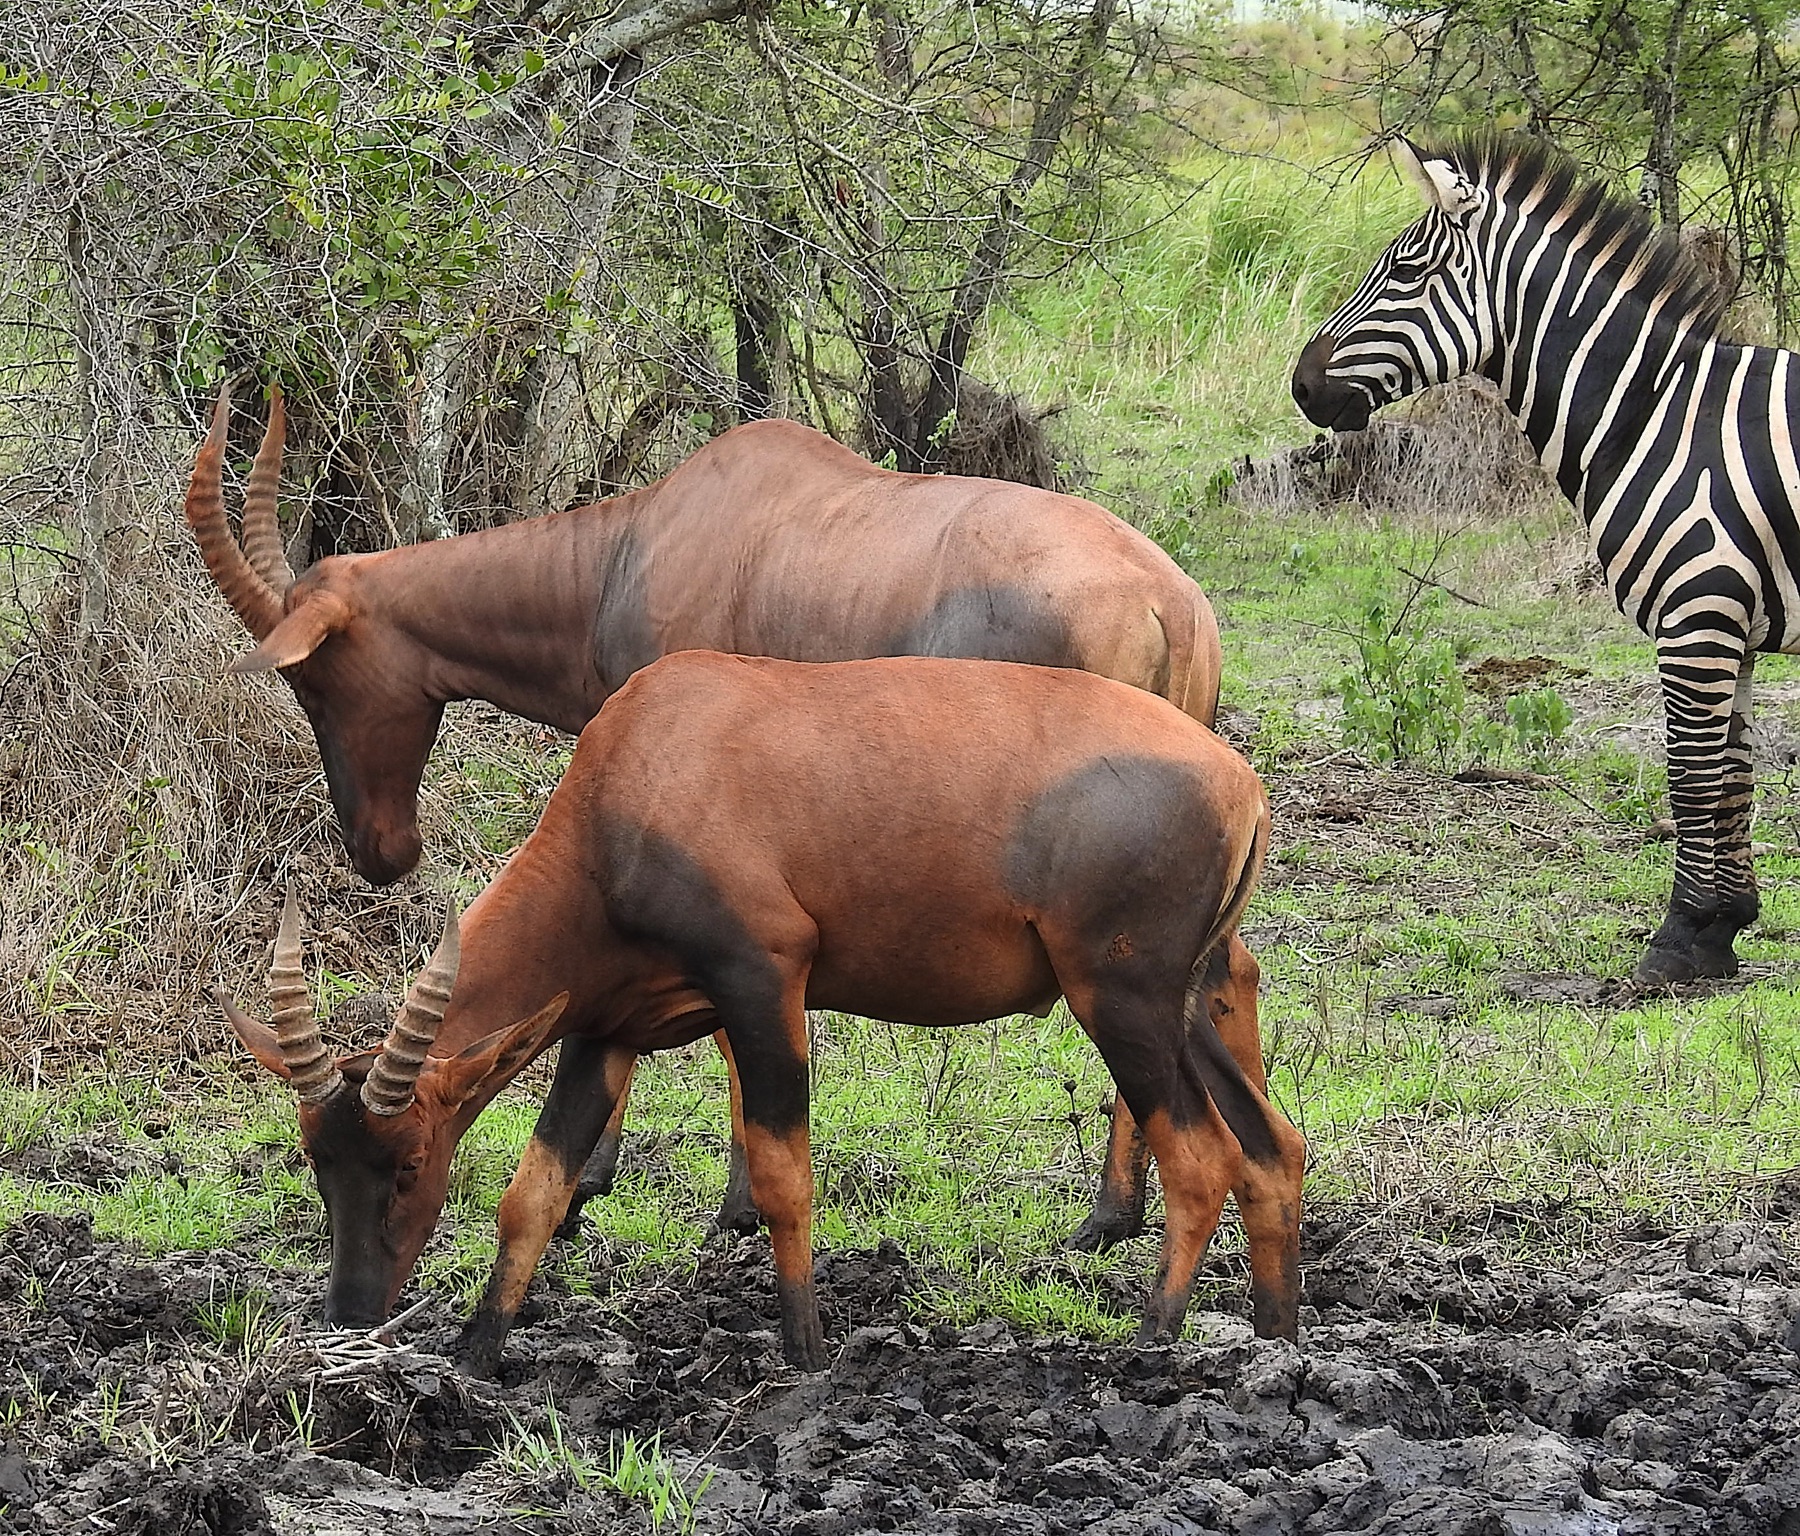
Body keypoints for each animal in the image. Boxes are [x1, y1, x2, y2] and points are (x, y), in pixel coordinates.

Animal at [188, 384, 1249, 1252]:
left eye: (312, 680)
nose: (380, 851)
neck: (641, 546)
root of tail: (1173, 605)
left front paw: (665, 1199)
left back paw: (1111, 1215)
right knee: (1230, 977)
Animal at [222, 653, 1301, 1372]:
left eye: (407, 1164)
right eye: (318, 1162)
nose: (351, 1312)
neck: (651, 758)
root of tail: (1241, 785)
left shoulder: (763, 982)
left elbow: (782, 1173)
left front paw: (809, 1351)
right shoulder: (605, 1028)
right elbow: (536, 1186)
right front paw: (477, 1351)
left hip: (1119, 1002)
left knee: (1202, 1156)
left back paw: (1152, 1341)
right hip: (1180, 1005)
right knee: (1273, 1148)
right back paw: (1278, 1337)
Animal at [1291, 131, 1792, 987]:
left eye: (1407, 273)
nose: (1301, 385)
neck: (1653, 413)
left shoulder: (1697, 617)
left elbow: (1691, 779)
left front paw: (1678, 937)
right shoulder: (1735, 629)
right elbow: (1734, 780)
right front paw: (1722, 931)